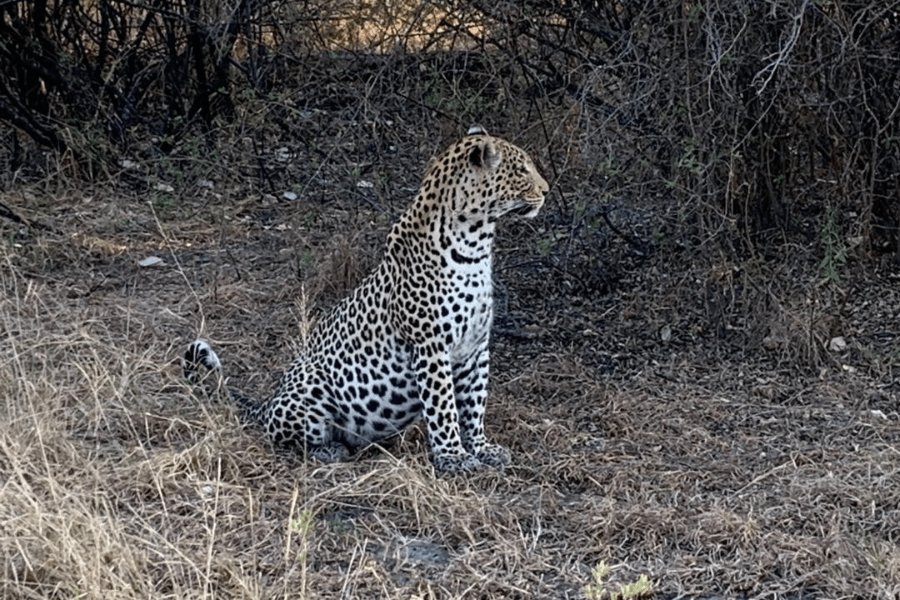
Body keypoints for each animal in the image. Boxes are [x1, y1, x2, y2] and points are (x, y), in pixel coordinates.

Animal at [184, 126, 548, 473]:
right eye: (522, 169)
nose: (546, 191)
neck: (475, 245)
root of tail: (268, 403)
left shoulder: (475, 347)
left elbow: (474, 402)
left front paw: (481, 448)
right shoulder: (430, 346)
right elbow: (444, 406)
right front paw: (453, 457)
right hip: (312, 383)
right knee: (285, 437)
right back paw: (329, 450)